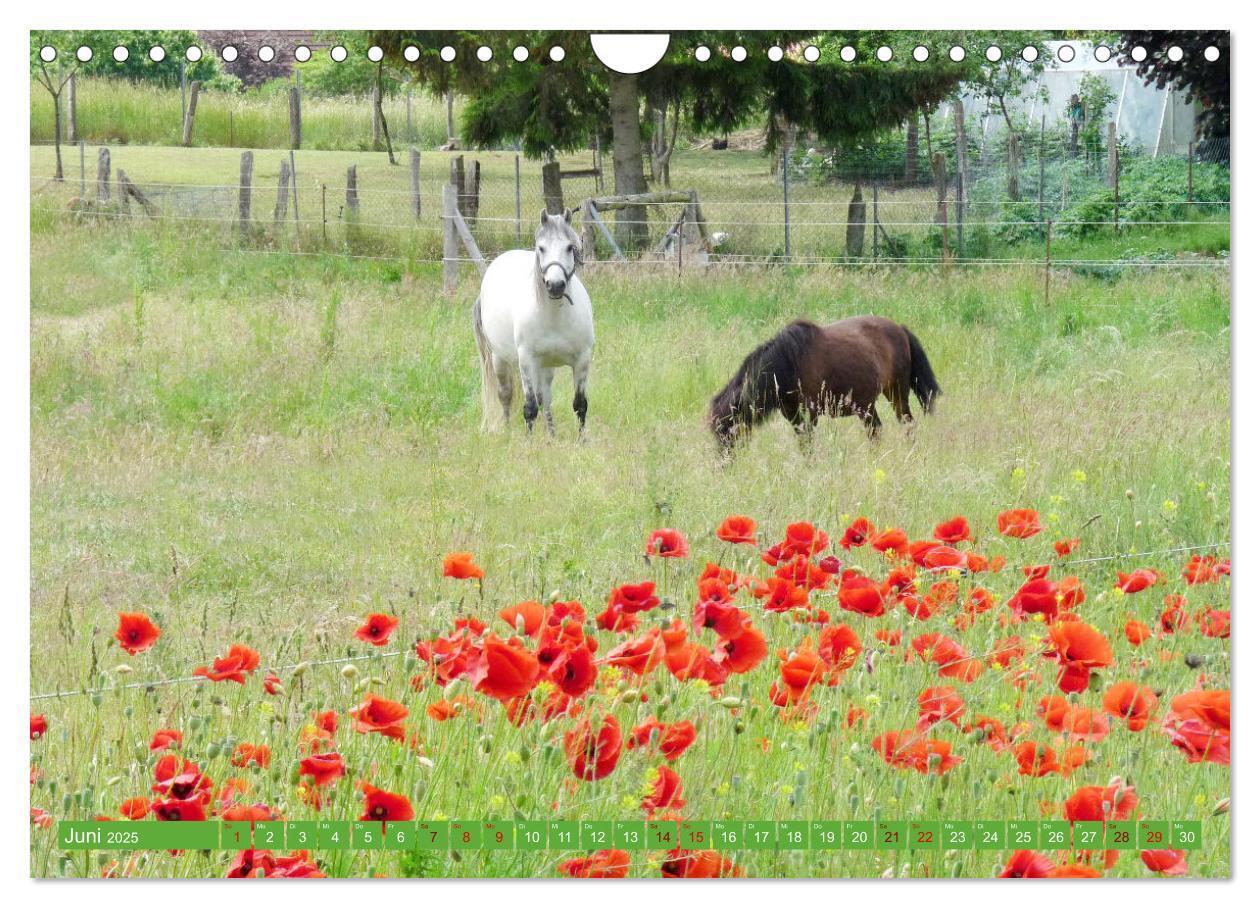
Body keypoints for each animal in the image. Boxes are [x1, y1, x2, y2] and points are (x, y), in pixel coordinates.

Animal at [473, 207, 594, 433]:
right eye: (541, 248)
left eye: (569, 247)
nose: (555, 285)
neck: (555, 317)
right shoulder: (527, 361)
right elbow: (529, 408)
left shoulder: (582, 360)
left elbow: (580, 405)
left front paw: (582, 439)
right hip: (499, 359)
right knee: (506, 395)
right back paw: (508, 431)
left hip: (546, 366)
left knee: (544, 397)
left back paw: (551, 434)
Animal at [710, 314, 937, 450]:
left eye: (725, 430)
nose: (723, 465)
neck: (788, 364)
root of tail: (900, 329)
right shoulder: (794, 417)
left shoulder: (809, 417)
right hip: (867, 405)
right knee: (876, 430)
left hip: (897, 393)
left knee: (907, 423)